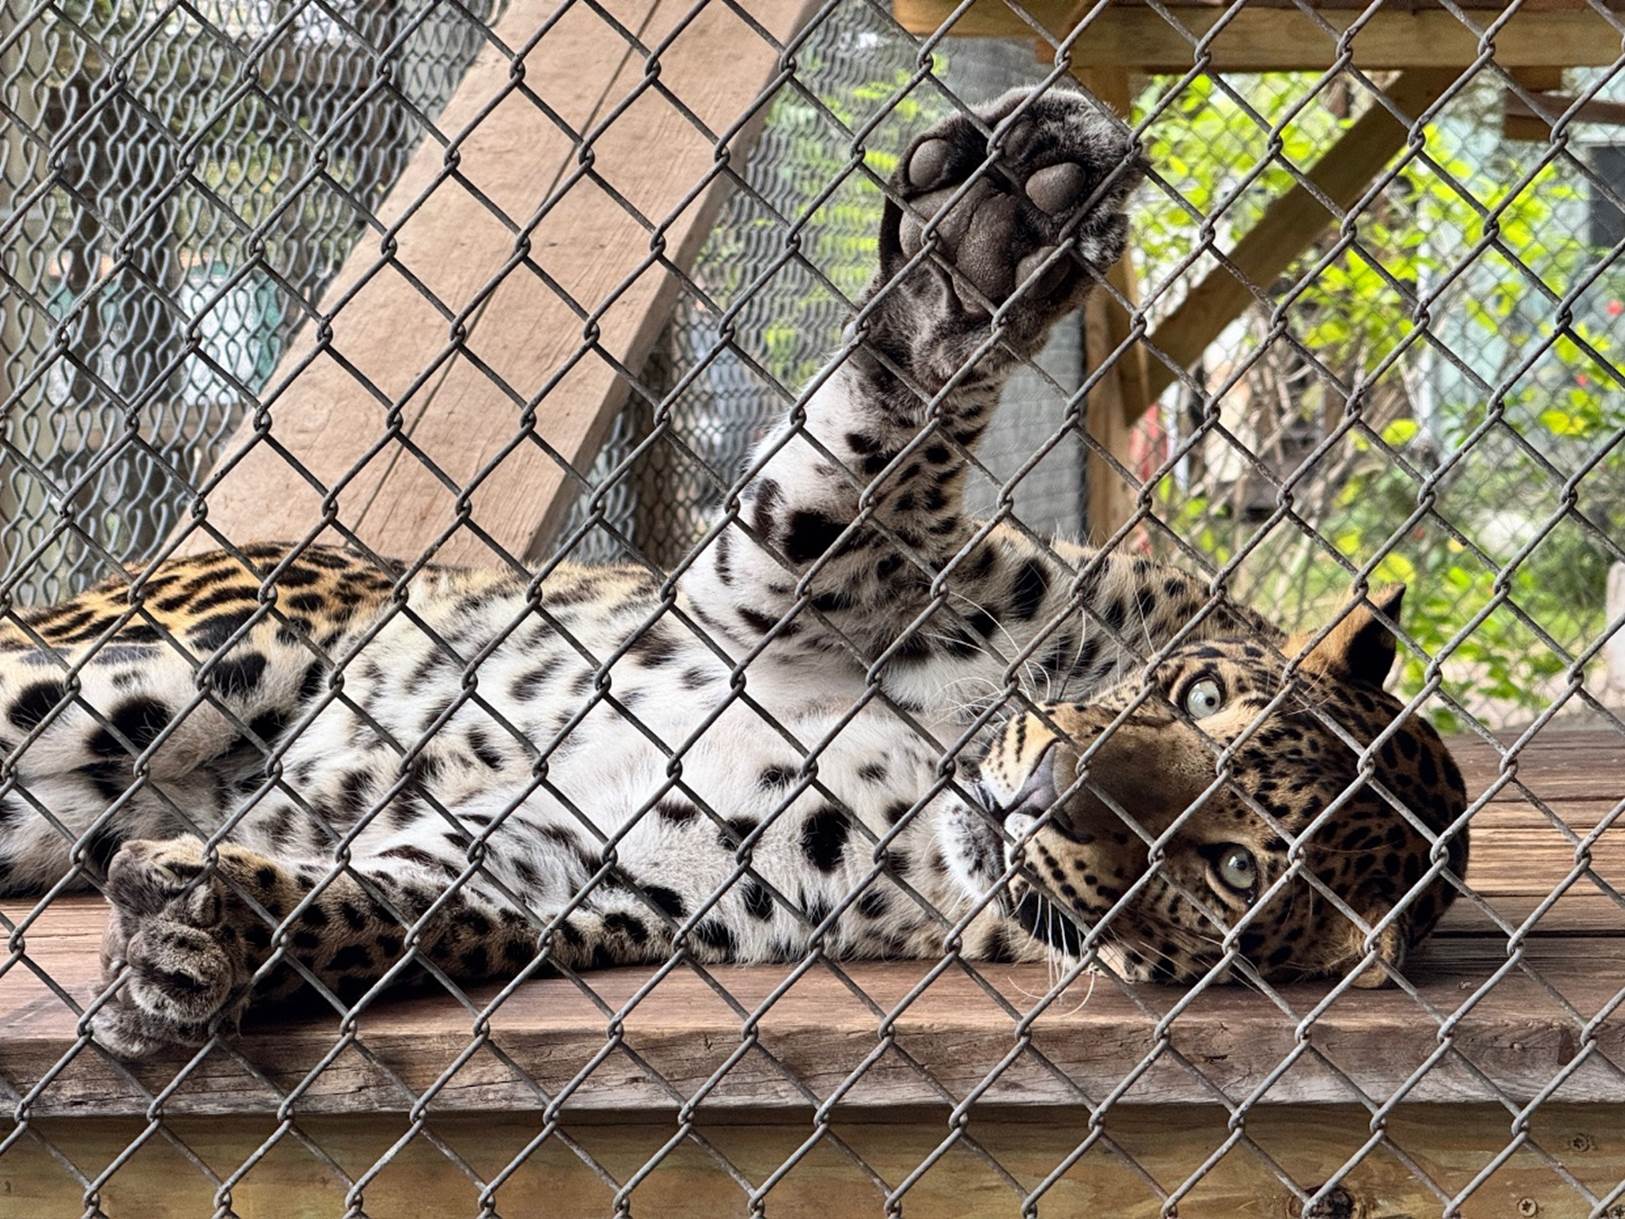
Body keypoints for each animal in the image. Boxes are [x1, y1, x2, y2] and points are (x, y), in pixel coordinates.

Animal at [0, 87, 1469, 1059]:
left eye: (1232, 868)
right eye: (1200, 696)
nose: (1038, 792)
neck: (938, 765)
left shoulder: (595, 862)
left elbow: (404, 911)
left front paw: (212, 938)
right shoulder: (800, 579)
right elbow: (885, 430)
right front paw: (988, 235)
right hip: (148, 673)